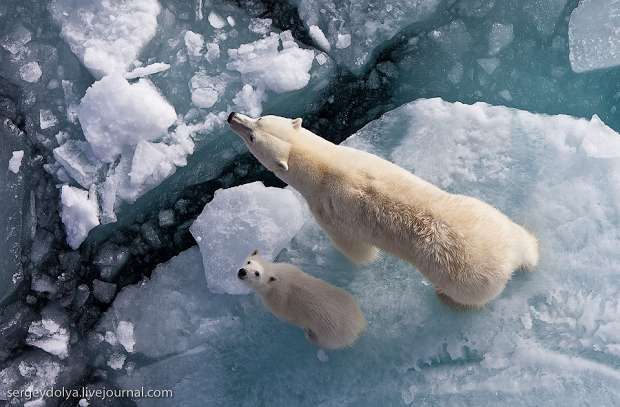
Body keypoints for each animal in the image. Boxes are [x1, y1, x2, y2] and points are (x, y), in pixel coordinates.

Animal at [228, 113, 536, 308]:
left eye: (253, 135)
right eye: (259, 119)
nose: (232, 116)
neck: (325, 167)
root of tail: (507, 259)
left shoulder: (328, 210)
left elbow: (355, 249)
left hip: (465, 277)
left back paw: (445, 298)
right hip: (486, 213)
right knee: (522, 237)